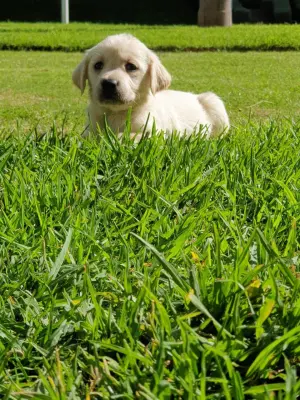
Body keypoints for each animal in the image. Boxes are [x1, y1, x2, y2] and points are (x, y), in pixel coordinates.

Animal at [72, 34, 230, 141]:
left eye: (131, 66)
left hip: (214, 102)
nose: (109, 83)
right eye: (98, 65)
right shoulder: (90, 130)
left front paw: (114, 138)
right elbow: (88, 137)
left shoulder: (155, 132)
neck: (117, 113)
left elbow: (128, 136)